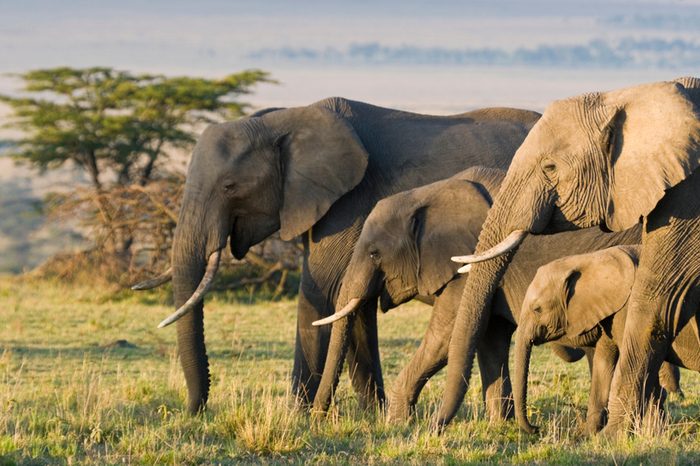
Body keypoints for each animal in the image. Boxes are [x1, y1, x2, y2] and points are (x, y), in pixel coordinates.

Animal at [131, 97, 540, 412]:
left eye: (230, 186)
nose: (193, 410)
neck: (284, 120)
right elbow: (352, 304)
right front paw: (372, 415)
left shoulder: (348, 203)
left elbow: (324, 292)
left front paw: (296, 415)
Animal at [314, 167, 644, 418]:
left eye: (374, 254)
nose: (319, 418)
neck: (429, 193)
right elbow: (490, 339)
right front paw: (501, 426)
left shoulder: (467, 267)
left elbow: (444, 339)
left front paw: (397, 423)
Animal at [516, 246, 684, 436]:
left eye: (537, 309)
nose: (536, 428)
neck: (589, 259)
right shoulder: (608, 310)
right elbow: (604, 361)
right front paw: (588, 435)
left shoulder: (629, 306)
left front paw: (652, 433)